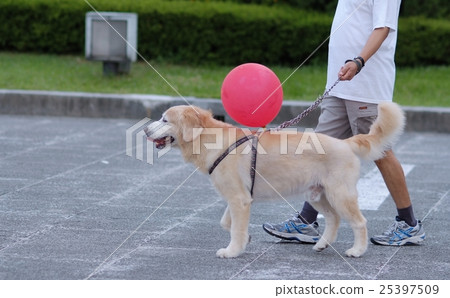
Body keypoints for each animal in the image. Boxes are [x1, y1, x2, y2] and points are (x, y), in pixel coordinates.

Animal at [143, 101, 404, 258]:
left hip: (340, 194)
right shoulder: (238, 197)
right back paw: (322, 244)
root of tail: (345, 143)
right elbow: (228, 223)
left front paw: (232, 251)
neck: (209, 139)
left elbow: (234, 227)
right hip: (318, 194)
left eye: (165, 120)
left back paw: (357, 250)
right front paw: (245, 239)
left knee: (359, 222)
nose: (145, 130)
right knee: (334, 219)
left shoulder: (239, 199)